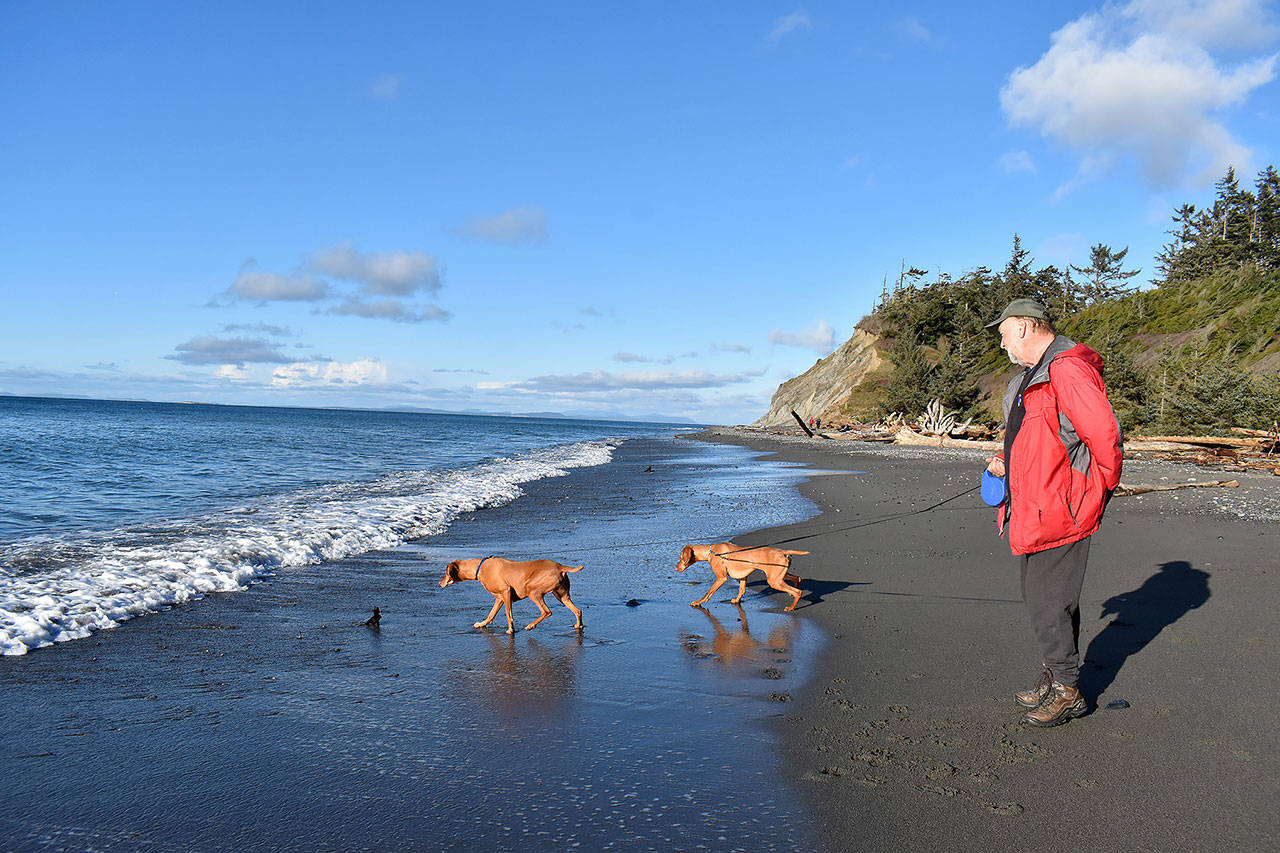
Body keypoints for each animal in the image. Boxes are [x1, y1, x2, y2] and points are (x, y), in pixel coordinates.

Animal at [437, 558, 583, 630]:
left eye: (446, 572)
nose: (439, 582)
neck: (480, 567)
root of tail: (560, 566)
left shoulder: (506, 591)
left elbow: (509, 615)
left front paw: (510, 630)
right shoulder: (500, 598)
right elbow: (491, 615)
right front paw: (482, 624)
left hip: (533, 591)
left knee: (546, 612)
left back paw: (531, 625)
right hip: (561, 595)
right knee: (578, 611)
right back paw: (578, 625)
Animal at [675, 540, 803, 607]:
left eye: (681, 558)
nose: (676, 568)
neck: (711, 551)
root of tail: (782, 552)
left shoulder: (721, 578)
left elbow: (709, 592)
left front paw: (698, 602)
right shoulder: (743, 577)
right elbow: (741, 590)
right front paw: (737, 601)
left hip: (774, 580)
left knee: (798, 591)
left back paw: (791, 607)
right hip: (778, 575)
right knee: (797, 578)